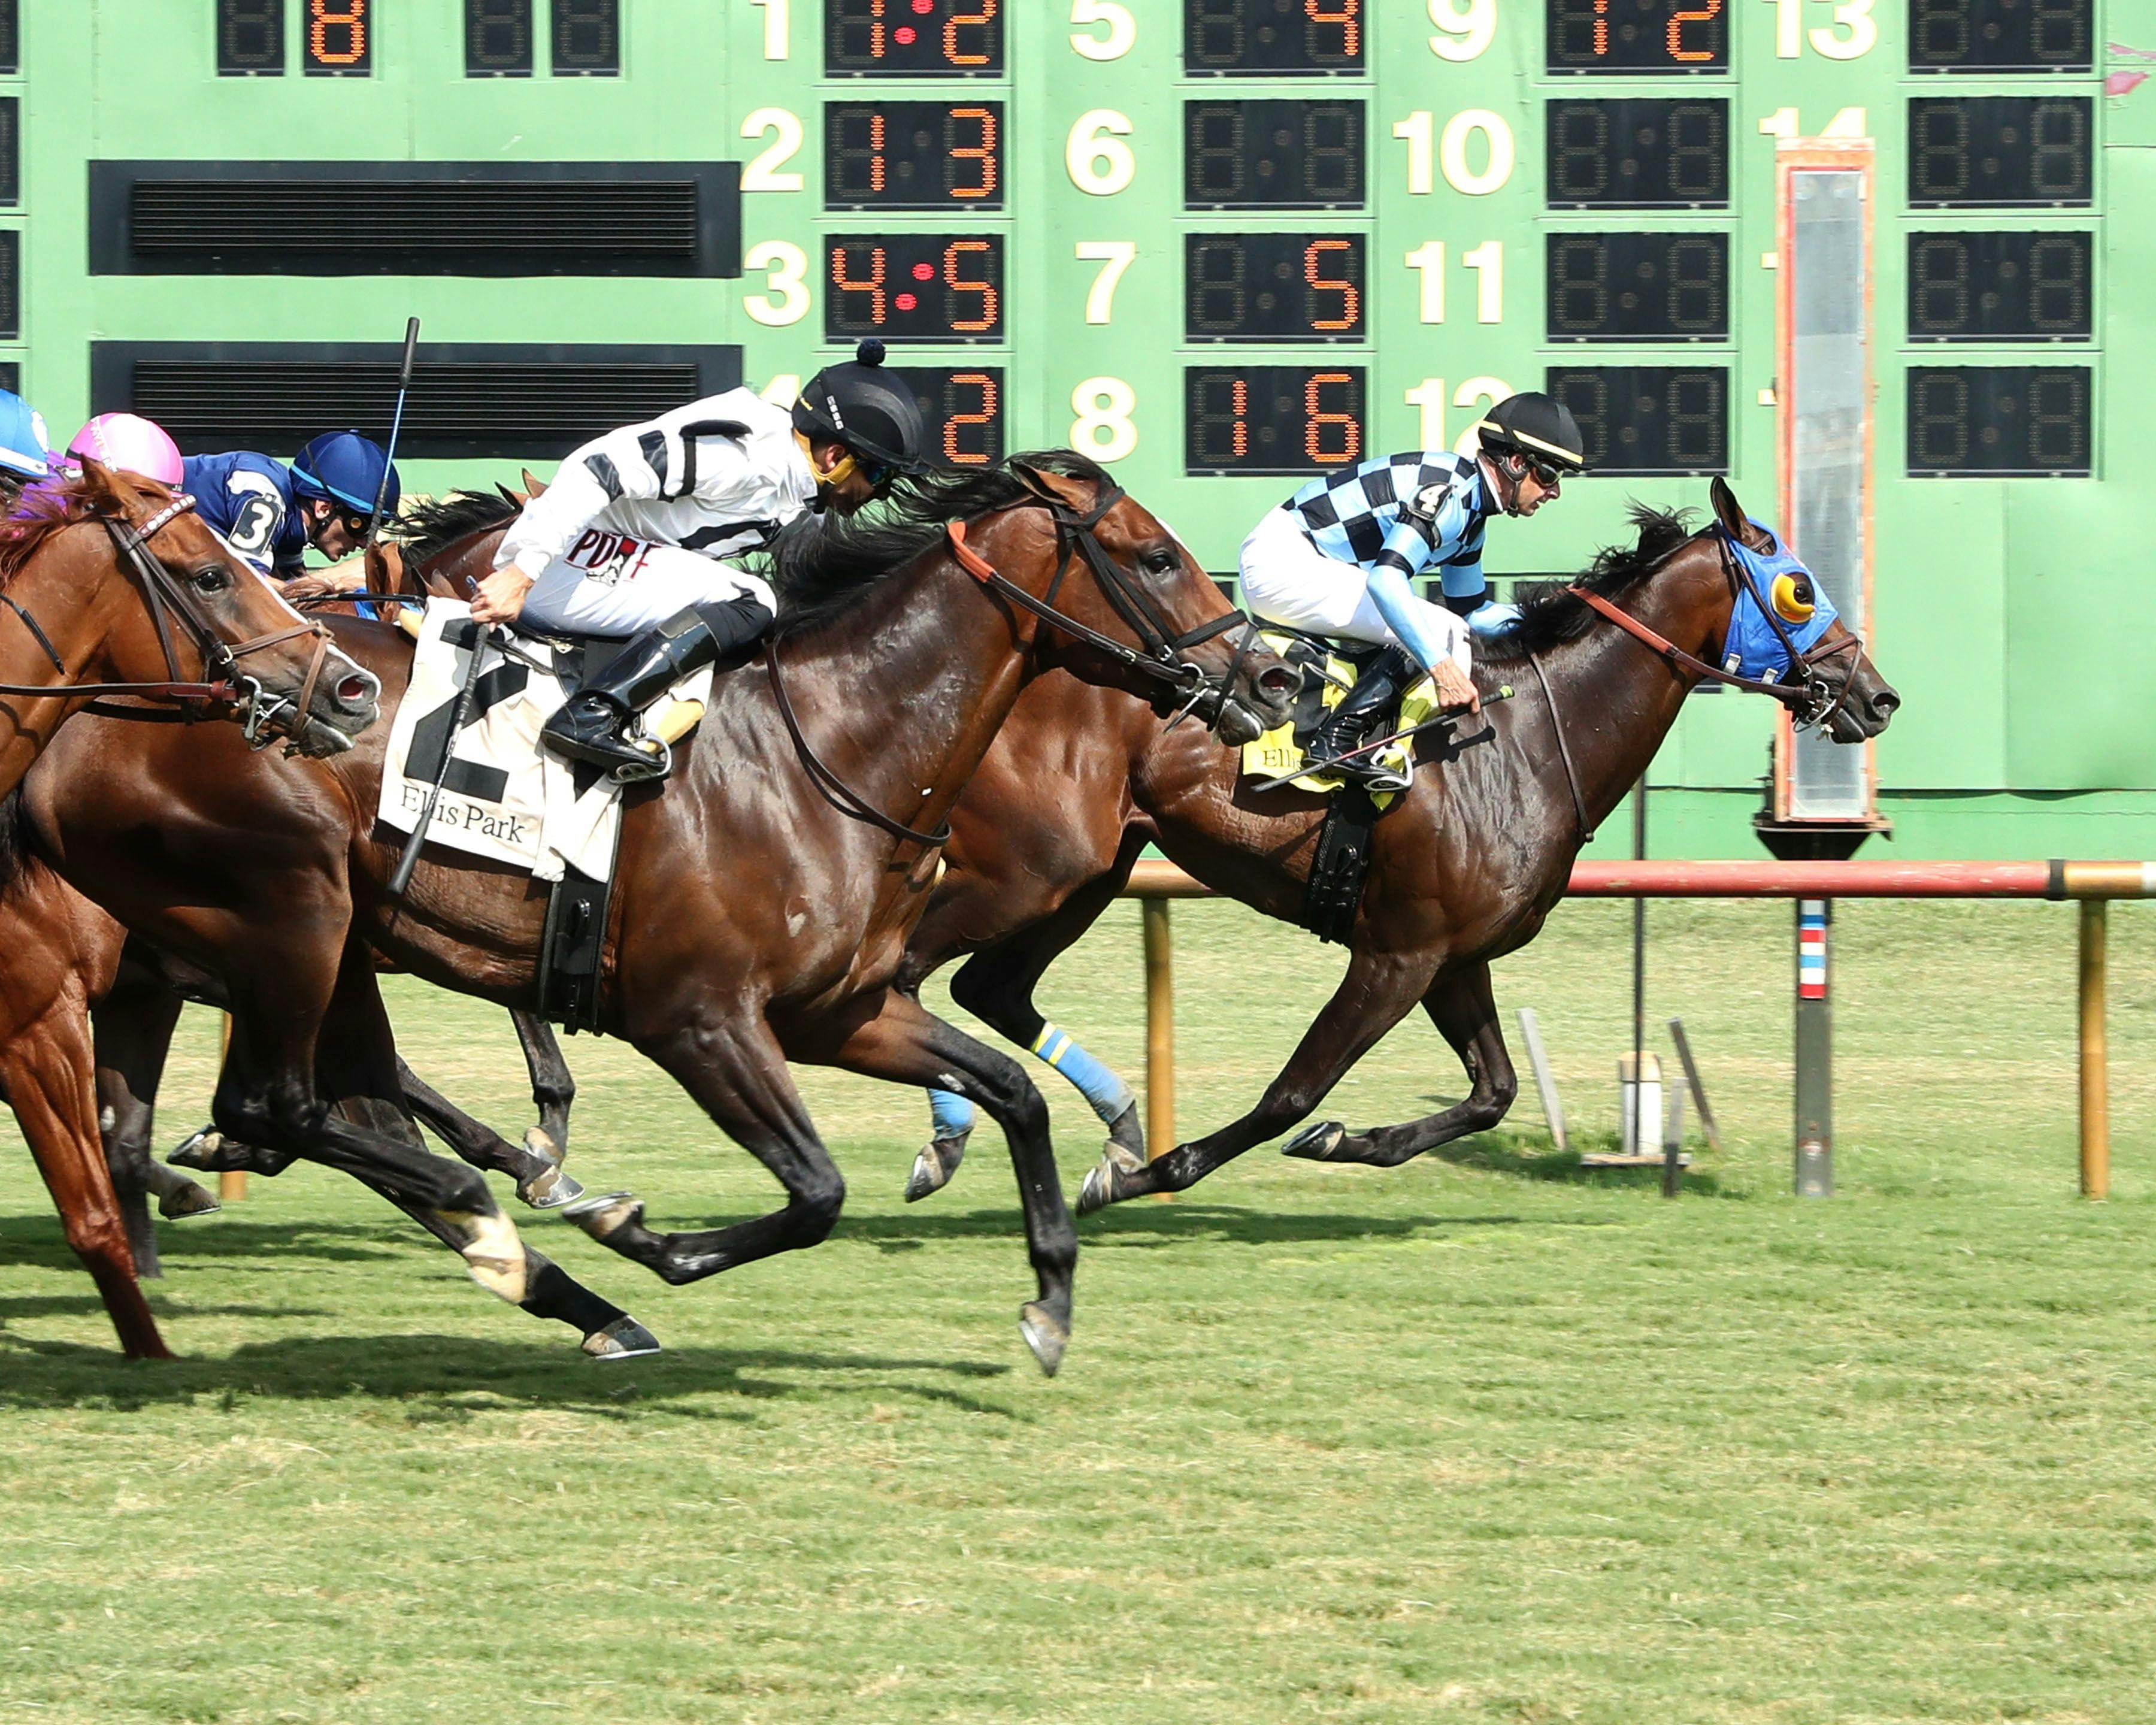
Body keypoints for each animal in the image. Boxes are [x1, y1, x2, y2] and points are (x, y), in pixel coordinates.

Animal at [8, 457, 1285, 1371]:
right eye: (1153, 555)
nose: (1273, 680)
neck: (832, 746)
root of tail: (97, 715)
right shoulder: (699, 1019)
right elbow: (816, 1192)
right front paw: (643, 1233)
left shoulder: (842, 1013)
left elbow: (1013, 1093)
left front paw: (1054, 1295)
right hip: (291, 913)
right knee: (273, 1104)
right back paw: (504, 1220)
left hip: (334, 945)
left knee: (327, 1104)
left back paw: (524, 1256)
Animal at [884, 479, 1897, 1208]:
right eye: (1798, 588)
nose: (1877, 696)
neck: (1527, 740)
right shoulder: (1395, 953)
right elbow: (1291, 1094)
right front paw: (1153, 1174)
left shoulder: (1454, 956)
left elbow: (1494, 1092)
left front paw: (1350, 1142)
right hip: (1021, 871)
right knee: (904, 972)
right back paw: (958, 1138)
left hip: (1084, 876)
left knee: (984, 988)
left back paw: (1076, 1123)